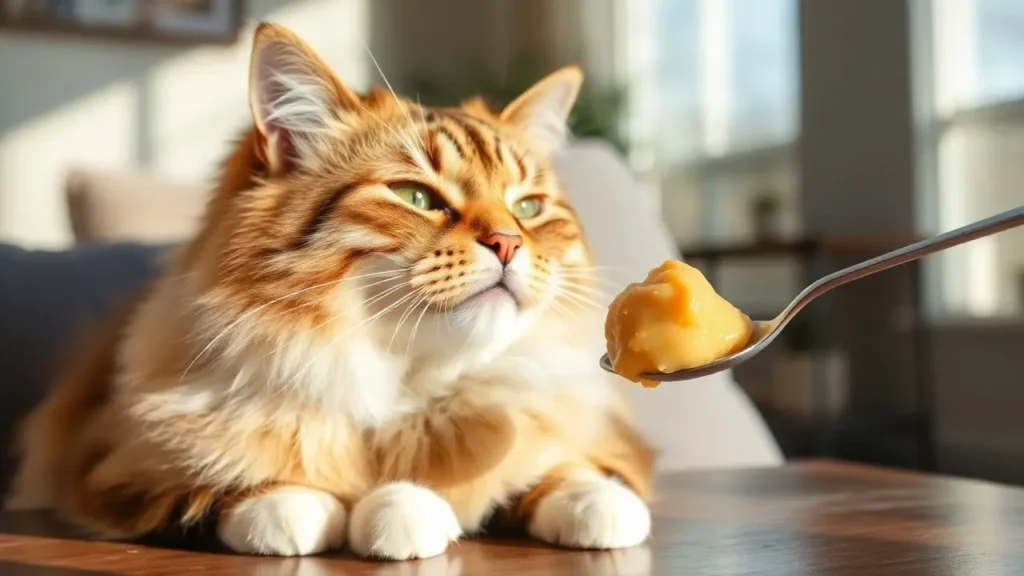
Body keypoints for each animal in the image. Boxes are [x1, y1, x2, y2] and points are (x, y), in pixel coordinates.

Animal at [4, 22, 651, 557]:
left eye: (529, 208)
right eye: (417, 197)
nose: (509, 243)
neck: (408, 389)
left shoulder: (594, 440)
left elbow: (575, 471)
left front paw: (595, 505)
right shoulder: (109, 465)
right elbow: (228, 491)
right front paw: (362, 509)